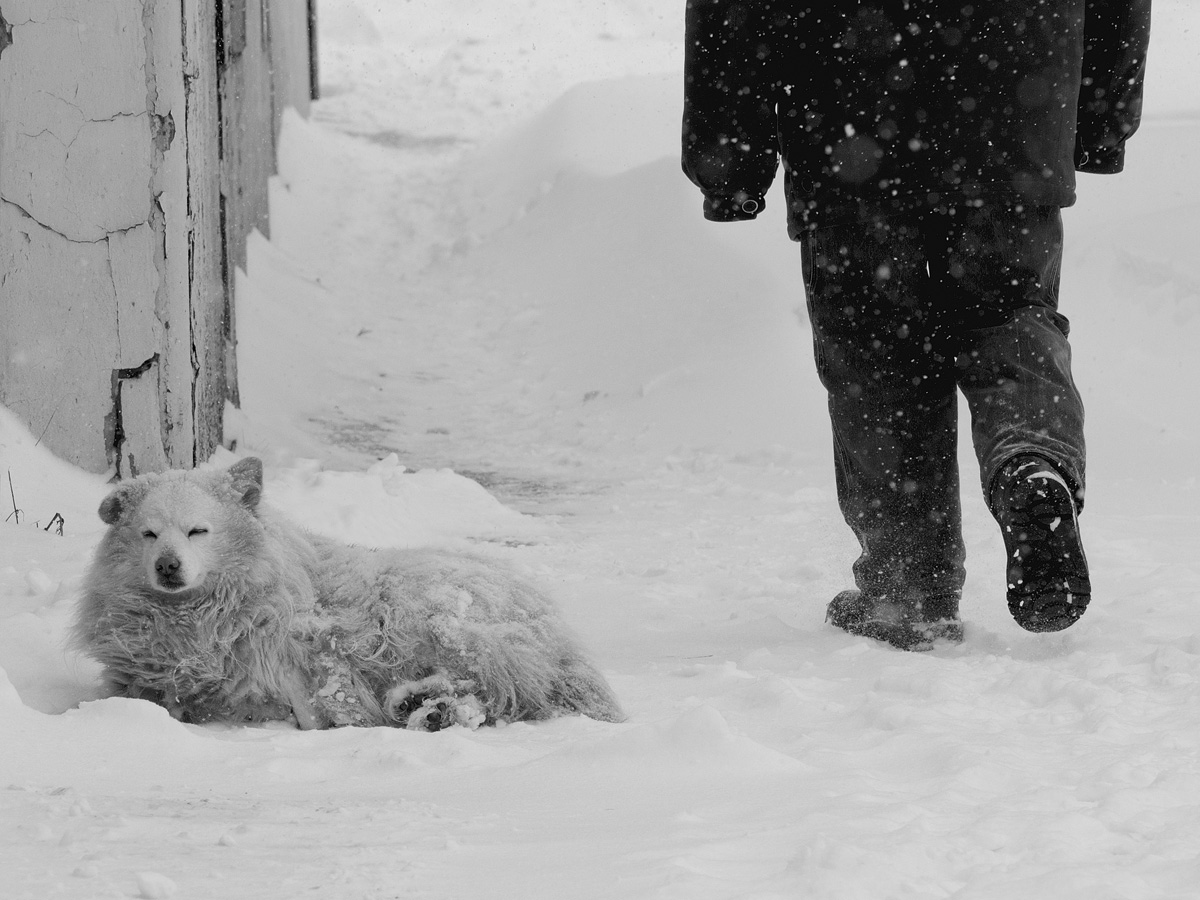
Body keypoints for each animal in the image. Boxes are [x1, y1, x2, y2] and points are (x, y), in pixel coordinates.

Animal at [70, 458, 624, 734]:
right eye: (148, 534)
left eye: (197, 531)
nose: (167, 566)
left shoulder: (313, 651)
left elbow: (321, 700)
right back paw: (424, 707)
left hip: (433, 615)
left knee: (504, 689)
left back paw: (427, 706)